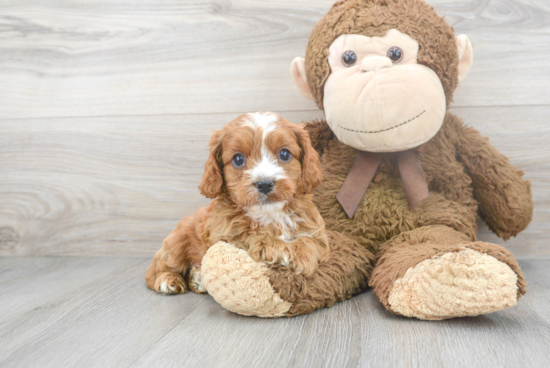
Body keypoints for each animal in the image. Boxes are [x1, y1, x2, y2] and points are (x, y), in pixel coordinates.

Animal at [144, 110, 330, 294]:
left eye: (284, 154)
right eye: (238, 159)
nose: (264, 184)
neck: (270, 214)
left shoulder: (317, 232)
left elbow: (312, 242)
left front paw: (303, 256)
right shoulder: (223, 234)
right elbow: (250, 234)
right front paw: (279, 248)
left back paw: (198, 279)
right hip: (178, 240)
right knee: (157, 268)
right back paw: (168, 280)